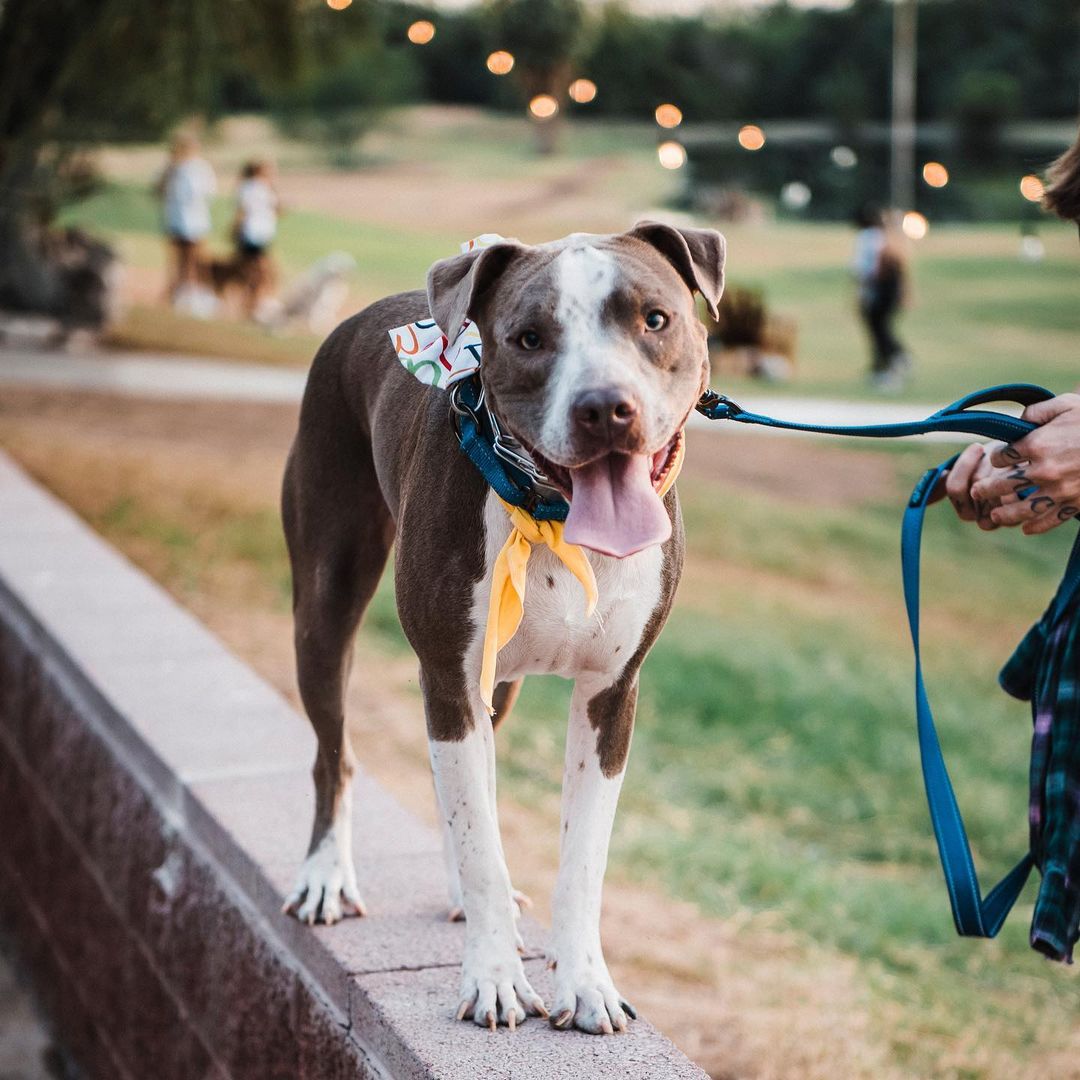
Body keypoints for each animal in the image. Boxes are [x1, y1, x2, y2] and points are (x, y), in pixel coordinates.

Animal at [282, 223, 725, 1032]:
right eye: (529, 338)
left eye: (655, 319)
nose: (604, 406)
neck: (553, 517)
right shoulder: (447, 676)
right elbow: (480, 838)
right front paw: (492, 979)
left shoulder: (611, 694)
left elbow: (576, 856)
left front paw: (585, 983)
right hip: (324, 614)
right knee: (337, 755)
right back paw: (327, 875)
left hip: (497, 686)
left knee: (469, 787)